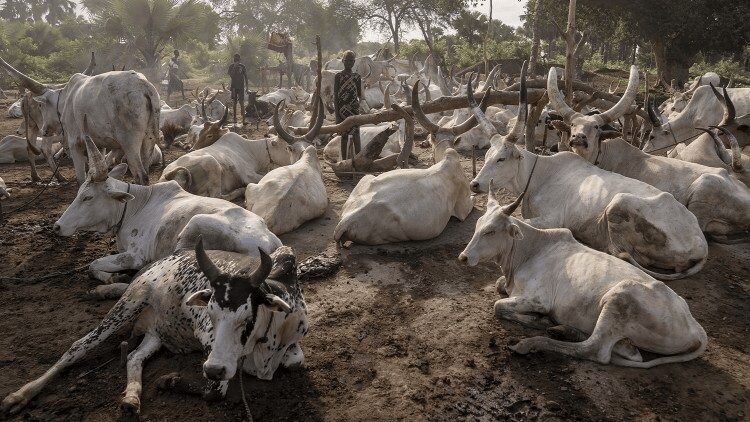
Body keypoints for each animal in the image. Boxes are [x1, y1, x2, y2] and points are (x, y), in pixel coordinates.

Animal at [0, 54, 159, 185]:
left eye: (41, 105)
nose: (44, 130)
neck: (65, 99)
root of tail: (144, 86)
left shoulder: (74, 143)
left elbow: (81, 178)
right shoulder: (99, 144)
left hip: (129, 142)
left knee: (141, 175)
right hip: (149, 139)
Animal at [0, 239, 308, 418]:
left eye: (246, 318)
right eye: (210, 313)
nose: (214, 369)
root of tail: (155, 263)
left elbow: (296, 362)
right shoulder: (206, 339)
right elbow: (215, 391)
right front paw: (168, 381)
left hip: (154, 335)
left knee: (134, 357)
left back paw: (131, 397)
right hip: (128, 305)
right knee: (77, 348)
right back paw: (20, 395)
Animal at [53, 137, 282, 282]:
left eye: (87, 197)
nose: (57, 227)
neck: (134, 206)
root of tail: (269, 242)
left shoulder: (135, 255)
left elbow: (93, 265)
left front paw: (114, 277)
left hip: (194, 225)